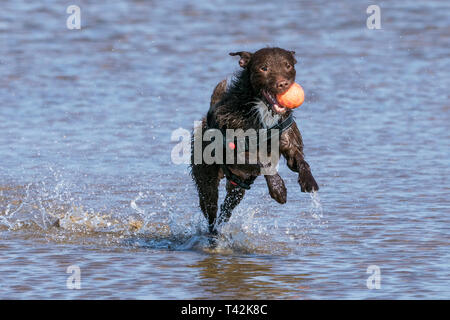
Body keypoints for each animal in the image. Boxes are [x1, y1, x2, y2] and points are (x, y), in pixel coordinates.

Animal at [192, 47, 318, 235]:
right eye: (263, 68)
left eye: (288, 65)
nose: (283, 84)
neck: (262, 110)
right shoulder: (236, 153)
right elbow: (261, 161)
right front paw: (278, 188)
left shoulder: (288, 142)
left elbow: (300, 160)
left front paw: (308, 181)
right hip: (206, 179)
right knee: (210, 209)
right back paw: (213, 233)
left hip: (237, 185)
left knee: (227, 207)